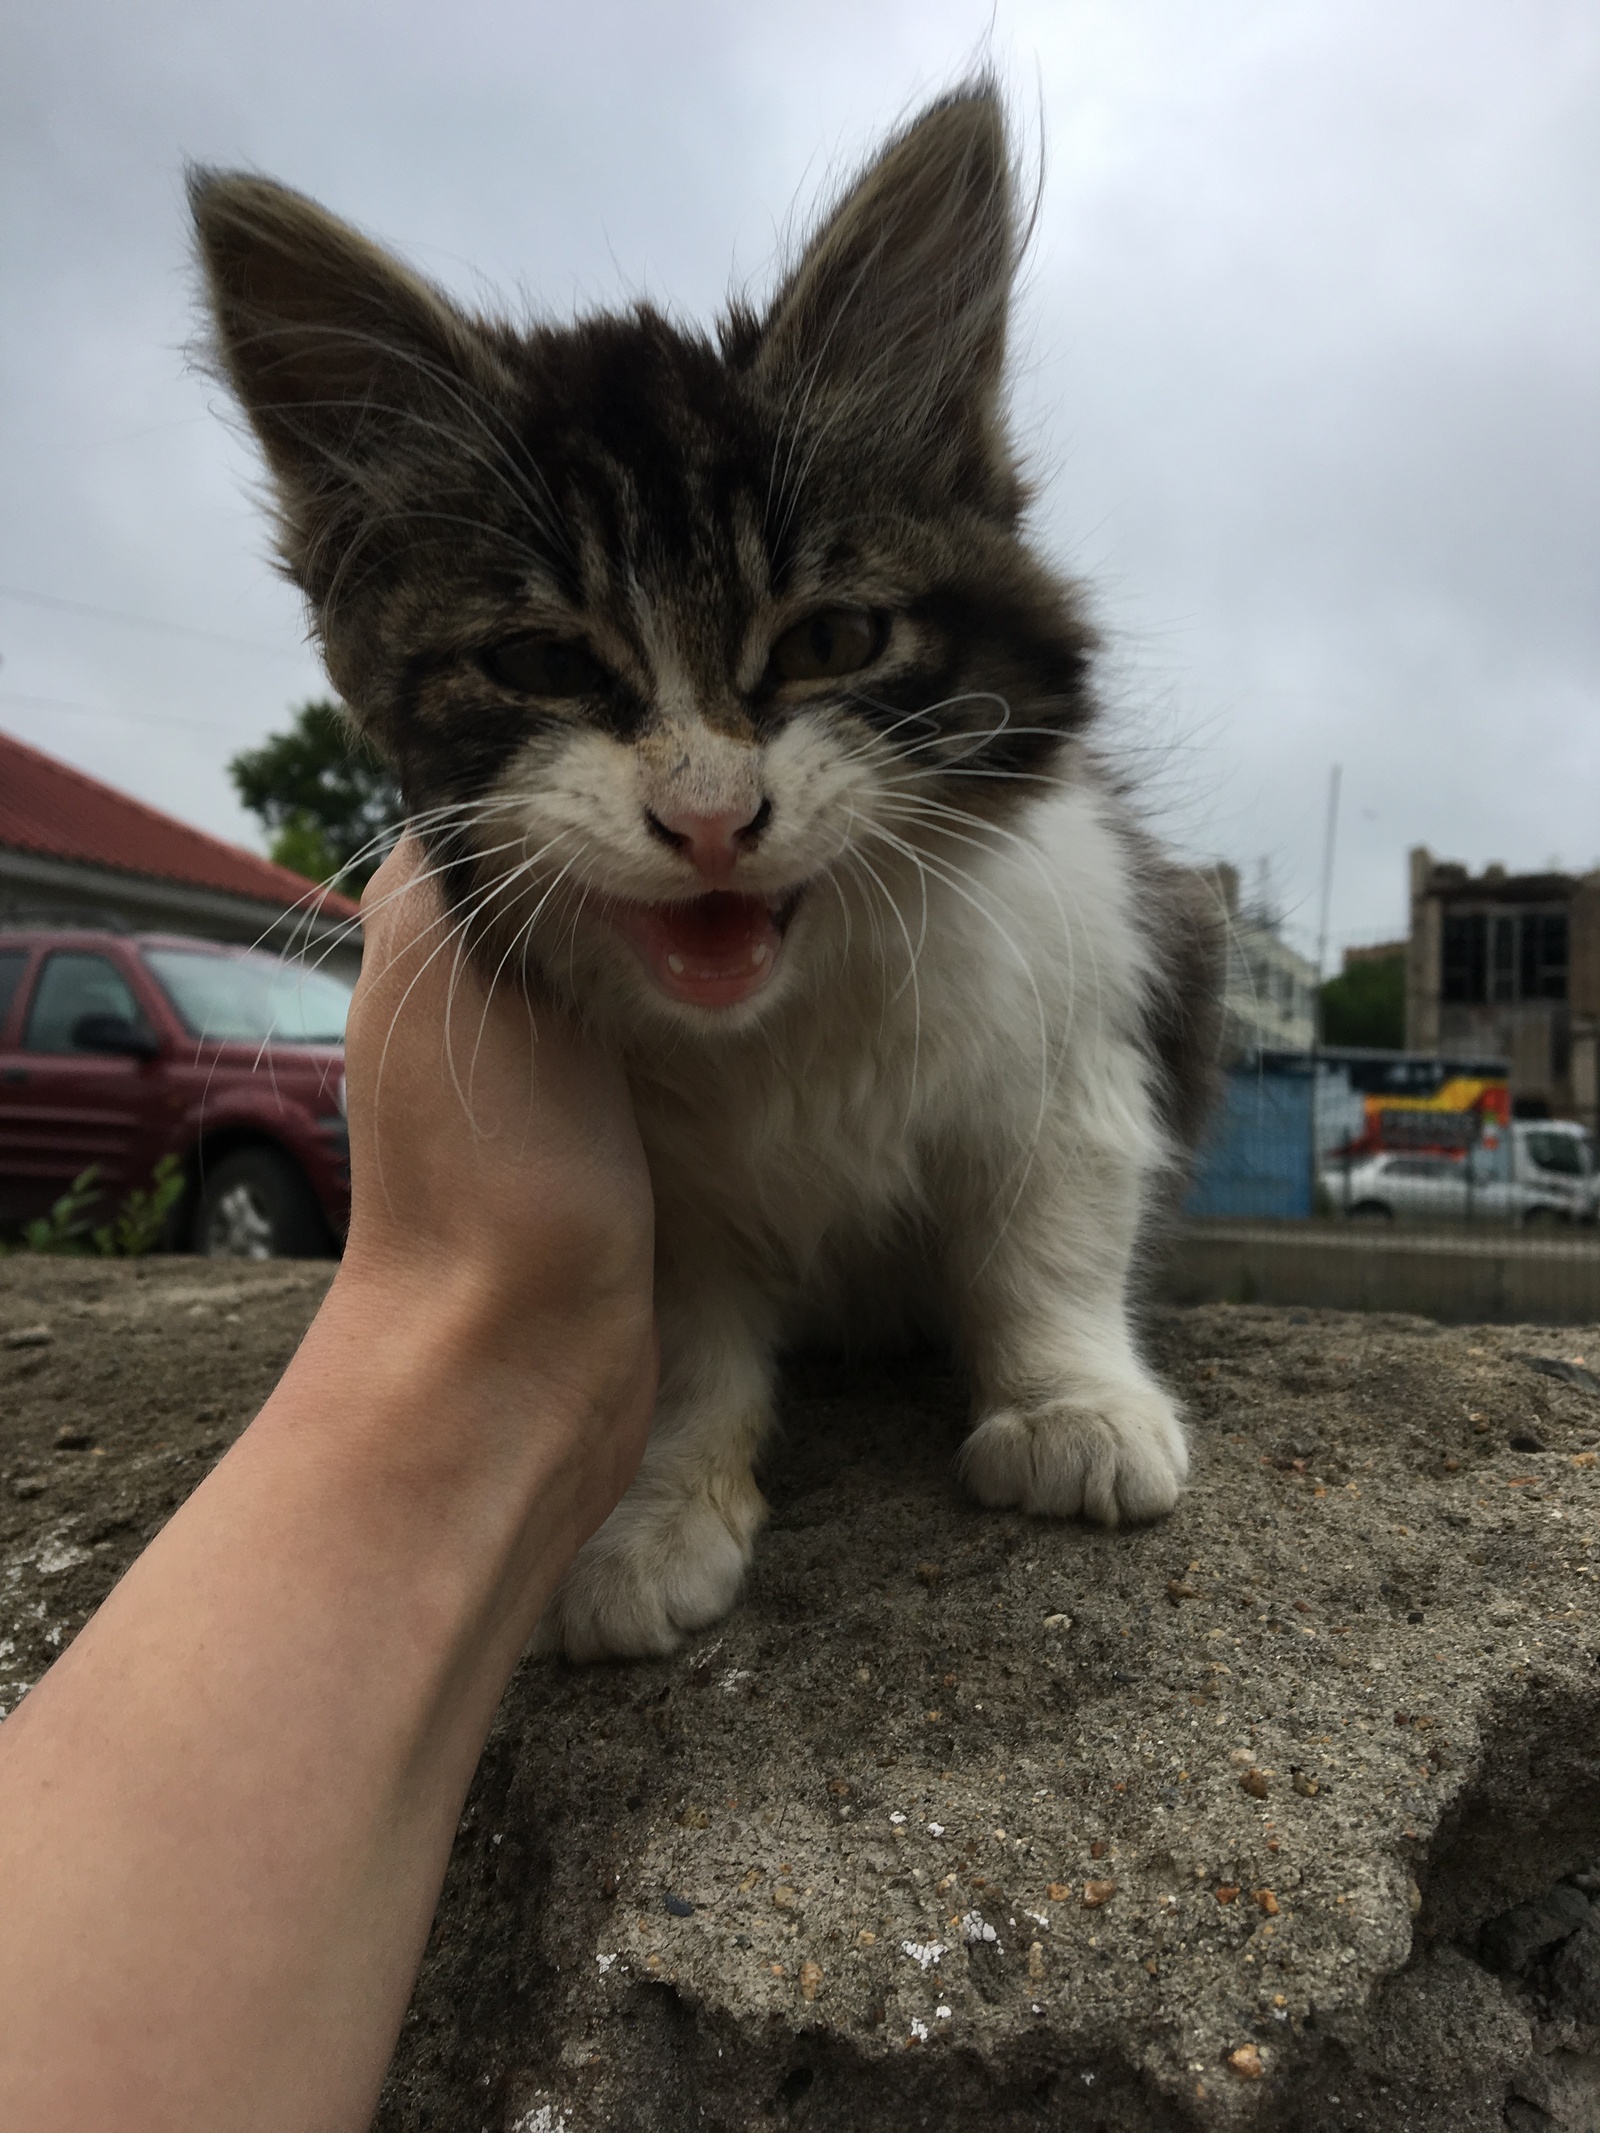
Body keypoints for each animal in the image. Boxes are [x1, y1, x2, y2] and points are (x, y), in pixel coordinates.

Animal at [197, 87, 1228, 1663]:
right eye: (544, 662)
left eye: (827, 643)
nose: (707, 817)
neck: (784, 1022)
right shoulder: (657, 1192)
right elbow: (684, 1353)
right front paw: (651, 1515)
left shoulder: (1089, 984)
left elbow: (1047, 1227)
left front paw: (1074, 1405)